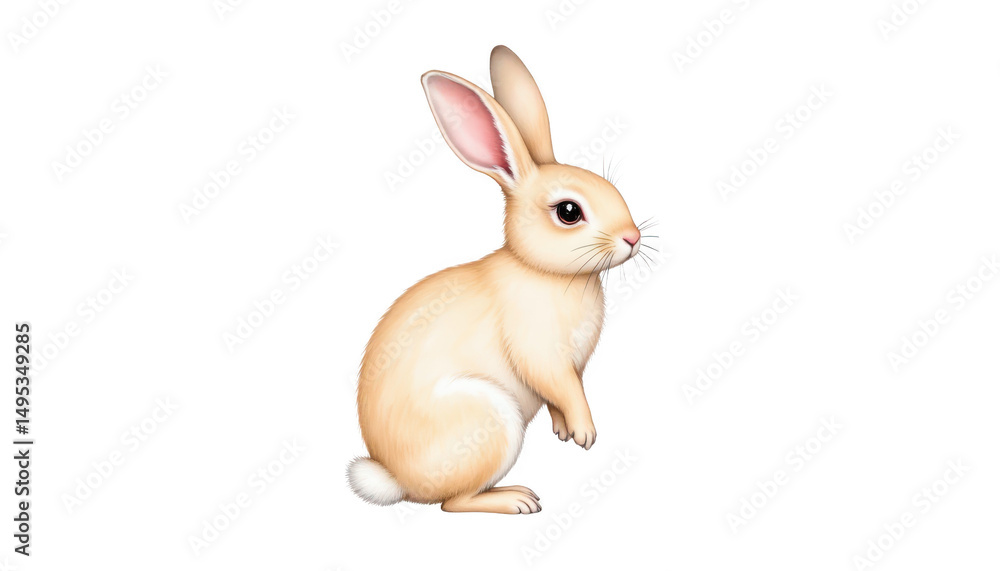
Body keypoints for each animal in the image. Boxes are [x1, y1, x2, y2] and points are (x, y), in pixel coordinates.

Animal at [348, 45, 646, 514]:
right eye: (569, 212)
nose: (633, 238)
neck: (540, 271)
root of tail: (394, 480)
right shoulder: (543, 356)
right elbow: (565, 390)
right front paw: (585, 434)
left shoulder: (571, 369)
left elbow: (562, 398)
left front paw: (564, 432)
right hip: (493, 419)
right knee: (453, 503)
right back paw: (518, 500)